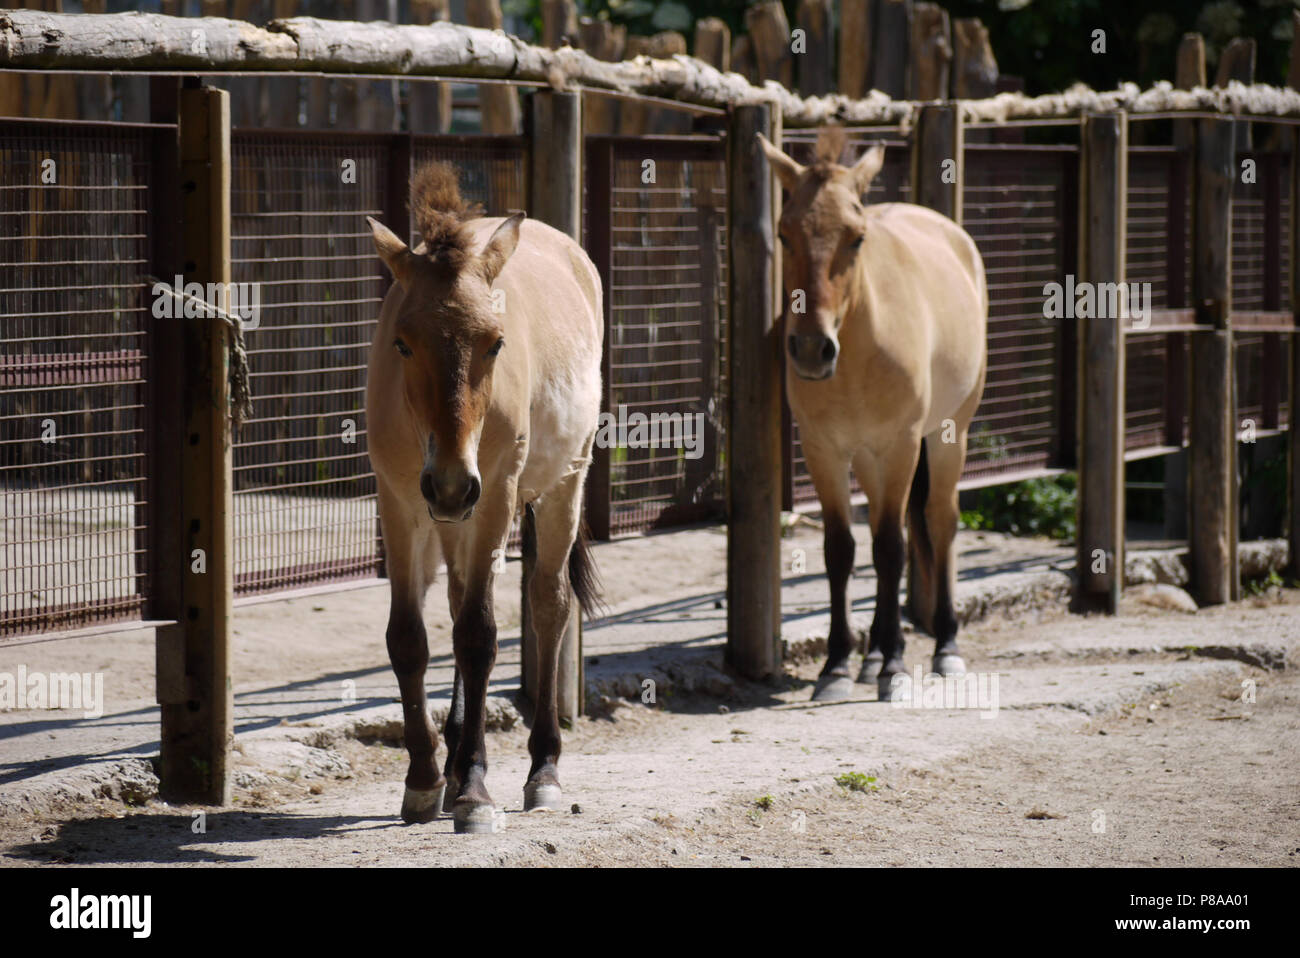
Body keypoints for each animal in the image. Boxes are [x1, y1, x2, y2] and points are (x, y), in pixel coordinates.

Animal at [366, 162, 603, 831]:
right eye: (402, 343)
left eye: (495, 343)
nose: (450, 481)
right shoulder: (400, 501)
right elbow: (408, 638)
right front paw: (424, 779)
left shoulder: (494, 492)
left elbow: (478, 635)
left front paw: (473, 788)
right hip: (450, 517)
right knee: (453, 601)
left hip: (562, 484)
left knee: (548, 604)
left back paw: (542, 769)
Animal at [754, 127, 982, 696]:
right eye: (785, 235)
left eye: (856, 238)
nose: (812, 350)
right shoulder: (824, 450)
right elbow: (841, 550)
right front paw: (837, 663)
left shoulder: (899, 445)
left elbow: (890, 549)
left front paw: (896, 665)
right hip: (871, 458)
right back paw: (871, 653)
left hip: (947, 436)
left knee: (939, 521)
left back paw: (945, 646)